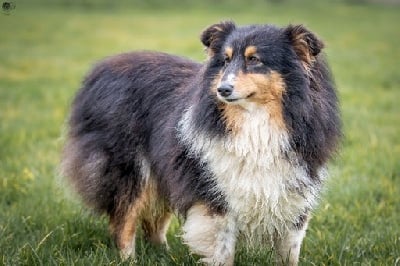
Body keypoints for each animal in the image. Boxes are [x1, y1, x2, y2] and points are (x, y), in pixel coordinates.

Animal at [61, 21, 340, 266]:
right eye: (225, 60)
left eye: (254, 60)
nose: (222, 89)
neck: (255, 123)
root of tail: (99, 68)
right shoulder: (216, 194)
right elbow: (222, 251)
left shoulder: (293, 191)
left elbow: (290, 251)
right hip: (130, 167)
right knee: (123, 220)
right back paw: (129, 260)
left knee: (153, 220)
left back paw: (164, 254)